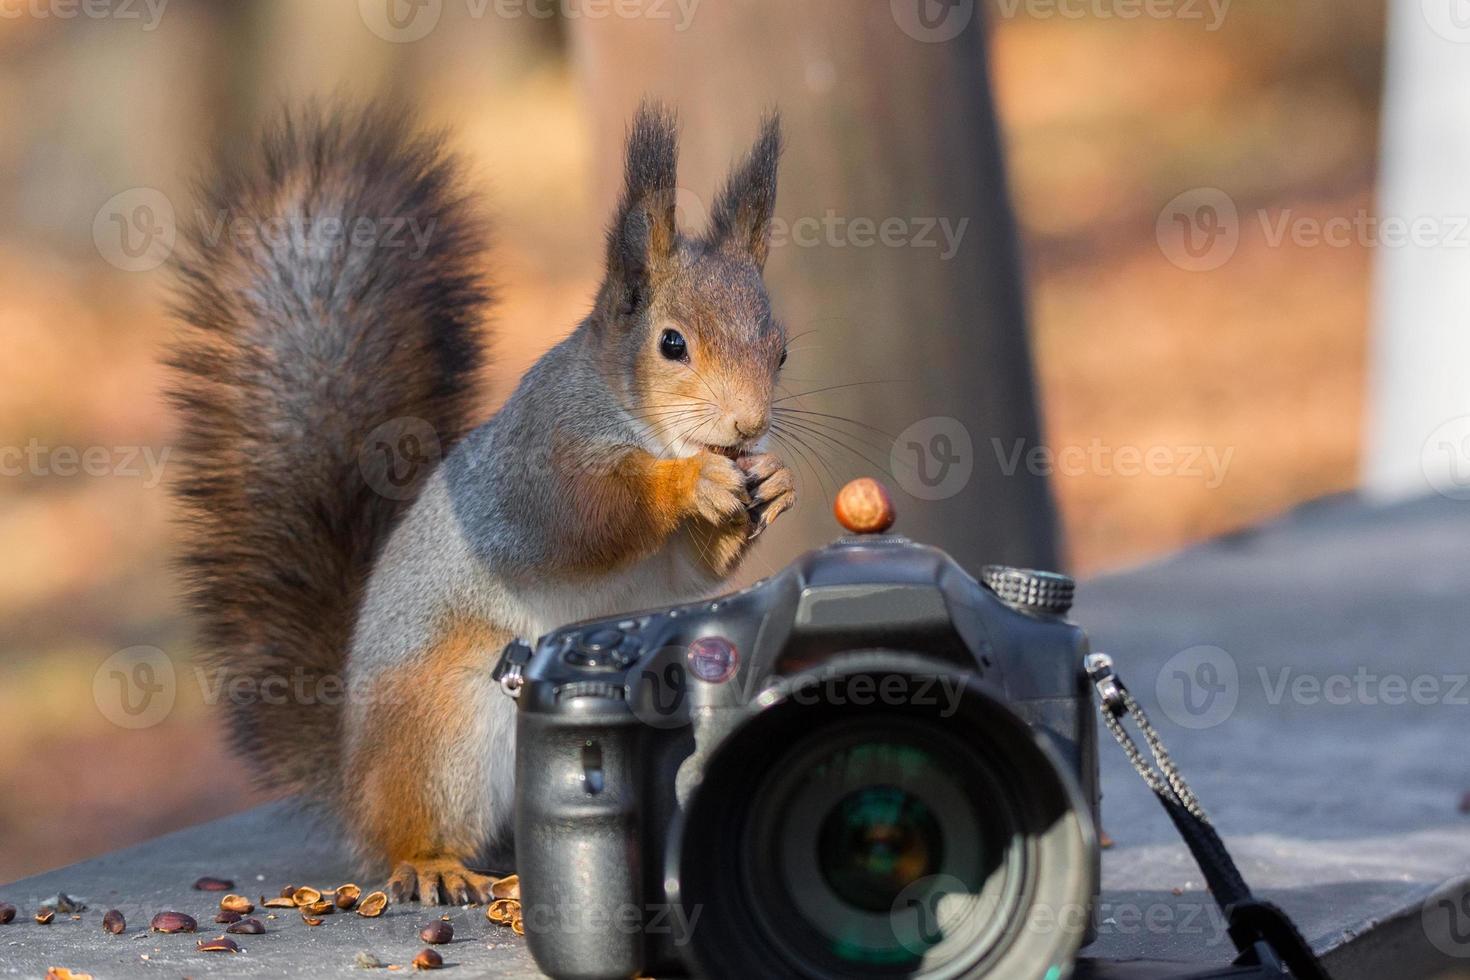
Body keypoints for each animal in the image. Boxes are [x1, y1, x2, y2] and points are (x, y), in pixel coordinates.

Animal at [165, 99, 793, 905]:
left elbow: (693, 571)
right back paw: (431, 863)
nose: (749, 426)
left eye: (781, 351)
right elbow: (586, 519)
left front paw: (771, 482)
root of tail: (352, 778)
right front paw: (689, 484)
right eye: (672, 344)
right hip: (450, 728)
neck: (634, 418)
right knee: (410, 826)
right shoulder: (535, 469)